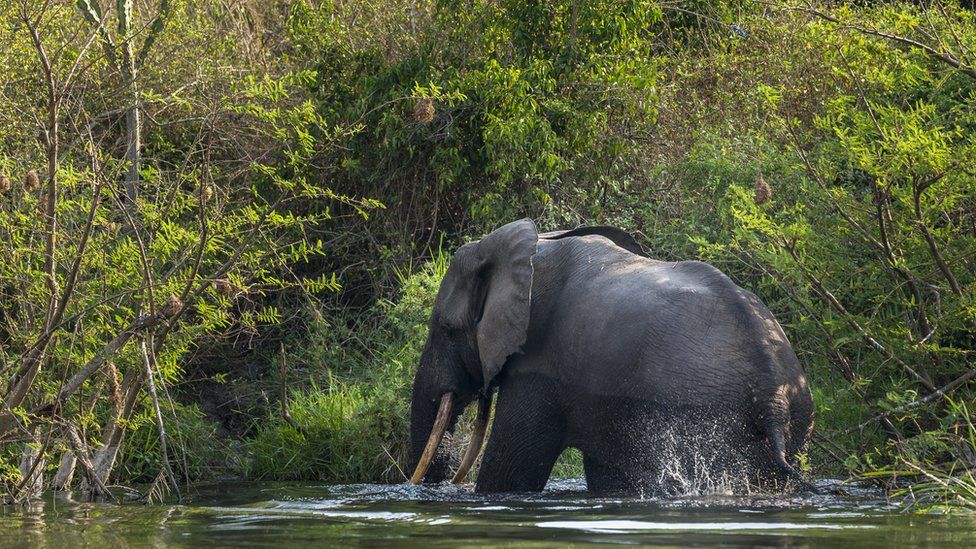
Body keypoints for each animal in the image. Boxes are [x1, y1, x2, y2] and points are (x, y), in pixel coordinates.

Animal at [408, 217, 812, 492]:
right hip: (794, 420)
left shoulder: (539, 368)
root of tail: (774, 396)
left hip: (702, 414)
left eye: (445, 329)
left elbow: (509, 473)